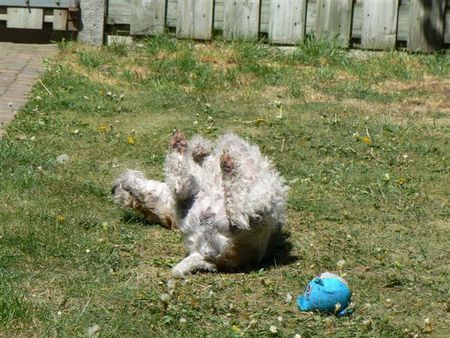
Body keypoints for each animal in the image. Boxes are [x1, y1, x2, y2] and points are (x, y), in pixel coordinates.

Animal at [112, 131, 288, 276]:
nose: (113, 189)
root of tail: (203, 255)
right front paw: (201, 149)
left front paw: (198, 149)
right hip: (260, 211)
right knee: (239, 214)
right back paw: (227, 168)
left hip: (188, 205)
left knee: (180, 183)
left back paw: (181, 146)